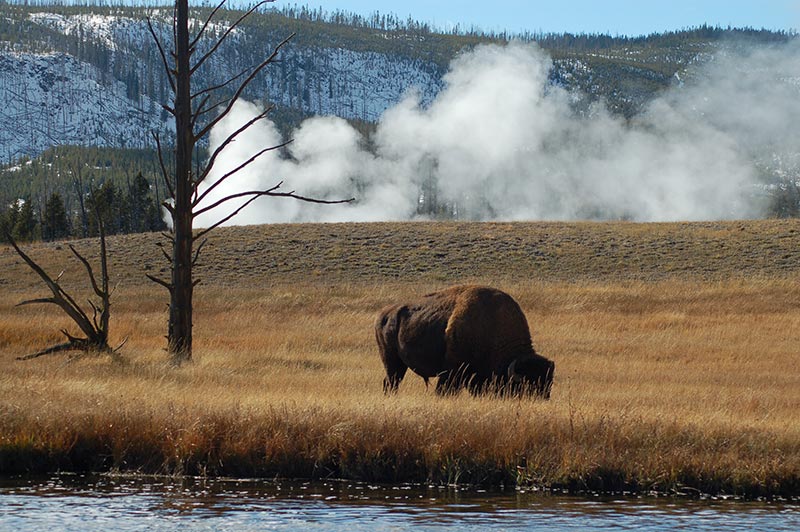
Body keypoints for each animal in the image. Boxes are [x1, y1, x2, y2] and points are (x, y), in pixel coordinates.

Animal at [374, 284, 552, 396]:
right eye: (526, 387)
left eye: (548, 387)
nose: (542, 399)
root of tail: (383, 314)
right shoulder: (453, 371)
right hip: (392, 362)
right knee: (391, 382)